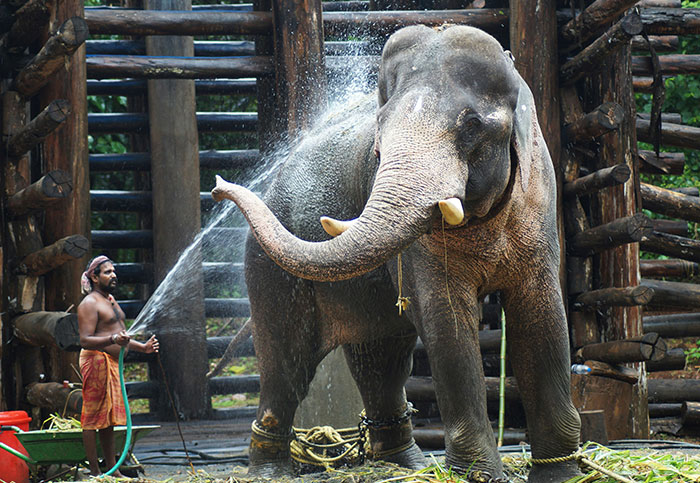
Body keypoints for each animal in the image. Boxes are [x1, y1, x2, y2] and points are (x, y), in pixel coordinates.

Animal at [212, 25, 581, 482]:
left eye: (472, 125)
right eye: (378, 132)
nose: (218, 186)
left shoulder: (540, 203)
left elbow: (543, 317)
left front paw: (563, 474)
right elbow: (447, 322)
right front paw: (477, 475)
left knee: (381, 360)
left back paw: (403, 463)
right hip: (268, 268)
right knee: (288, 364)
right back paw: (270, 470)